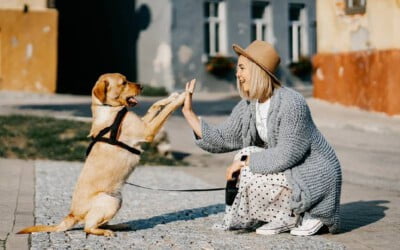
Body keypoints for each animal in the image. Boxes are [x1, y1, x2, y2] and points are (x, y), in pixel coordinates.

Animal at [18, 73, 187, 236]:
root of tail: (72, 214)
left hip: (117, 199)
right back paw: (105, 231)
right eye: (123, 82)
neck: (109, 110)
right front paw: (181, 98)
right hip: (110, 200)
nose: (142, 86)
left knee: (99, 223)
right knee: (88, 227)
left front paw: (171, 97)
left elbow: (154, 106)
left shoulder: (144, 123)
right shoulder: (147, 131)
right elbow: (166, 111)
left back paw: (119, 226)